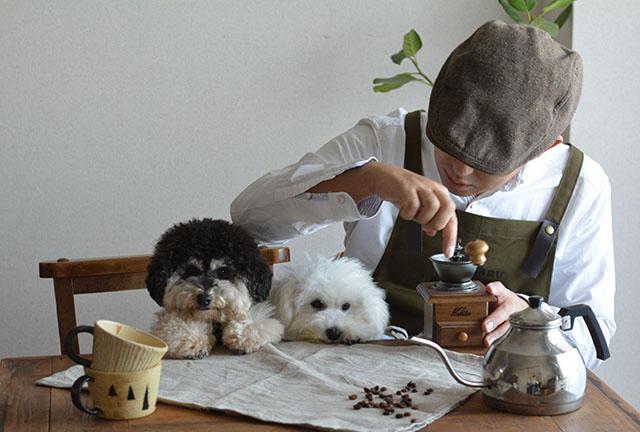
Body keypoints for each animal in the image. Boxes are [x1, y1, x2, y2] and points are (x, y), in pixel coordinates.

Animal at [146, 218, 283, 358]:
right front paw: (194, 343)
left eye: (222, 271)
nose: (204, 299)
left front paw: (242, 338)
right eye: (191, 270)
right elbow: (176, 324)